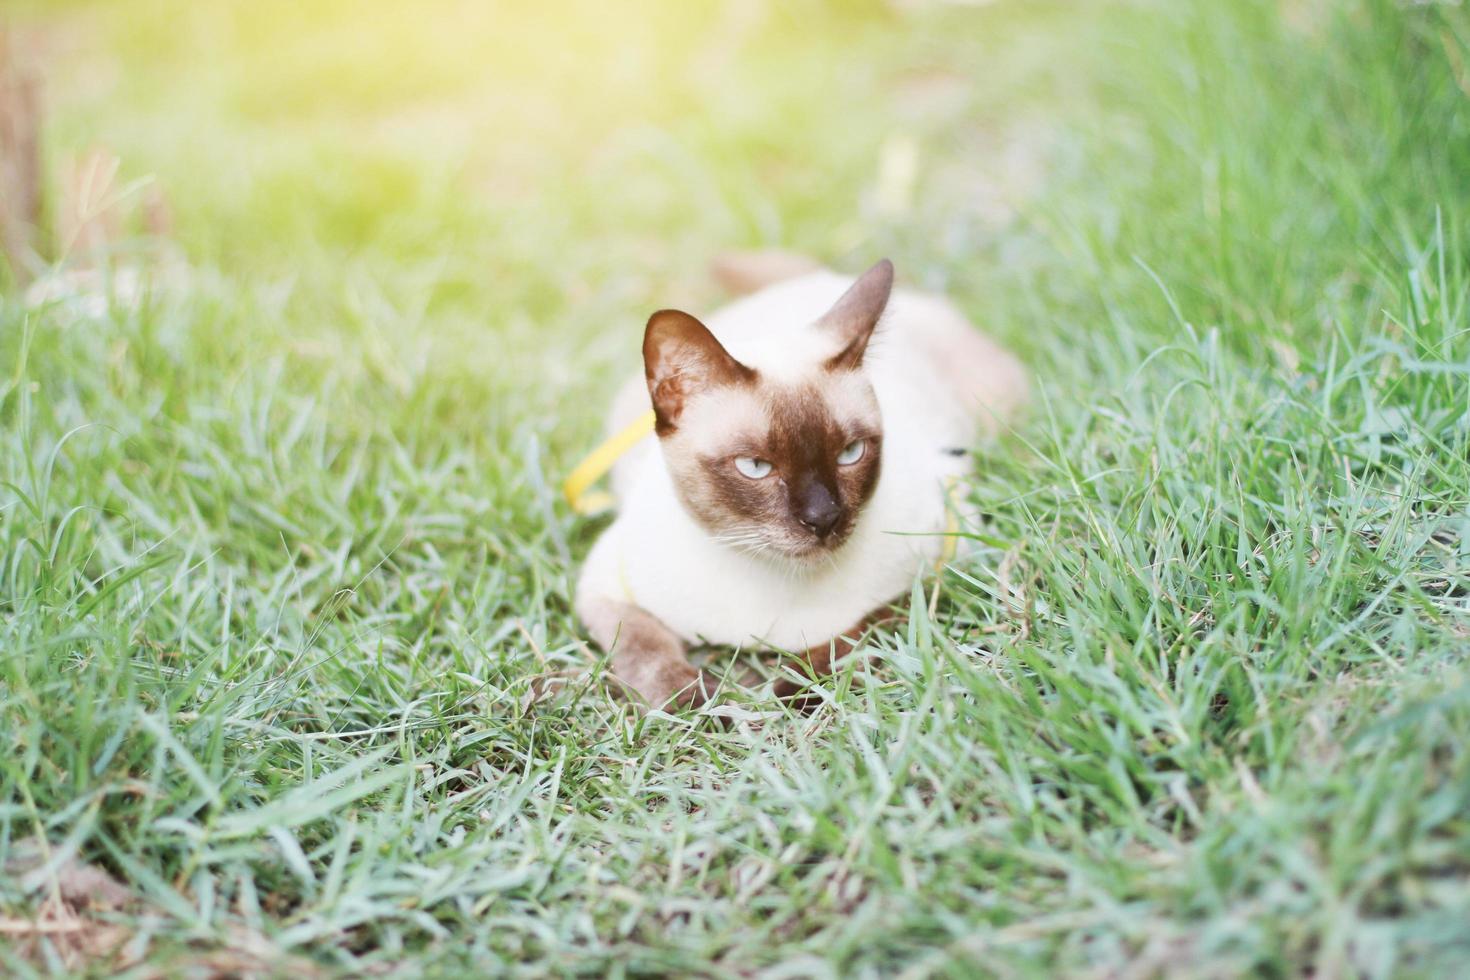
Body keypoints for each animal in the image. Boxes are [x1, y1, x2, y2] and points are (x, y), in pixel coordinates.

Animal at [570, 257, 1023, 708]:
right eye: (755, 466)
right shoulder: (602, 590)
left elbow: (861, 630)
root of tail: (817, 278)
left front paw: (792, 691)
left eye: (850, 453)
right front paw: (702, 708)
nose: (823, 519)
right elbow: (647, 653)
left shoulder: (946, 562)